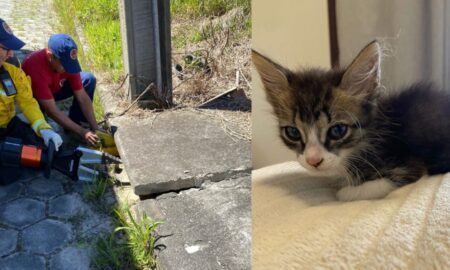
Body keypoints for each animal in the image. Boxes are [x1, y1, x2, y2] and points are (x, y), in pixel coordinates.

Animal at [251, 40, 450, 200]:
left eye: (338, 130)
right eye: (293, 132)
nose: (313, 161)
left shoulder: (409, 166)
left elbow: (357, 190)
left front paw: (344, 190)